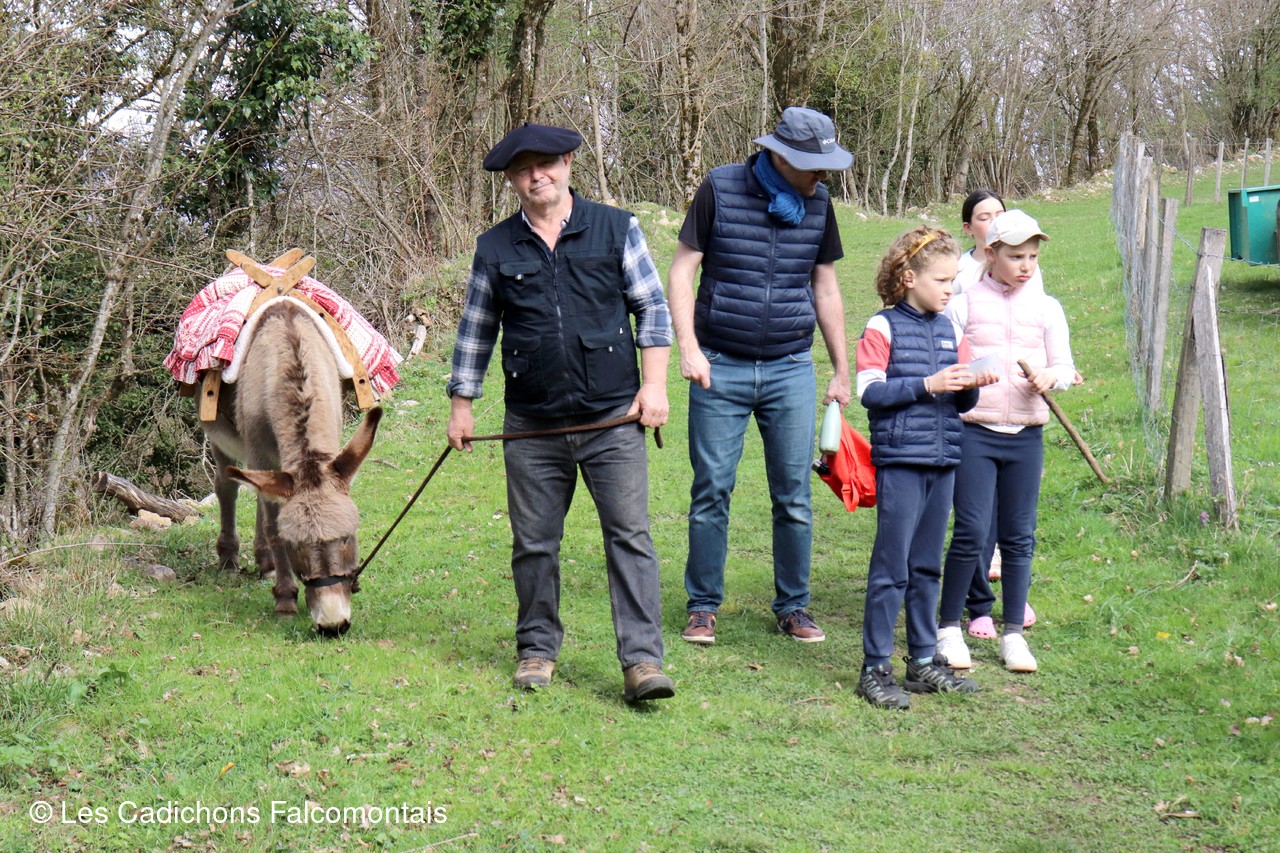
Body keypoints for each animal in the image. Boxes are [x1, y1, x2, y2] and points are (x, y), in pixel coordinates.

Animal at [202, 297, 381, 636]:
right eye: (295, 544)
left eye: (347, 537)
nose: (332, 625)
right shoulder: (259, 453)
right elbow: (273, 526)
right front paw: (285, 600)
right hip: (220, 439)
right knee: (228, 486)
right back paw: (230, 559)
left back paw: (265, 561)